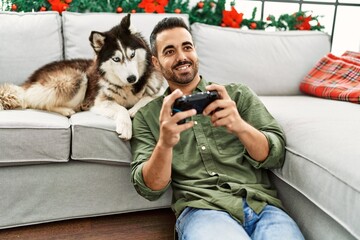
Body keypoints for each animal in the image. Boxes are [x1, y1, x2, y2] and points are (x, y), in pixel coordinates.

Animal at [0, 13, 165, 141]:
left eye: (132, 54)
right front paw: (125, 126)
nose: (132, 78)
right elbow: (121, 109)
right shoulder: (99, 101)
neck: (129, 87)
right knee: (35, 101)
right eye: (116, 59)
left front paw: (134, 109)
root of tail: (31, 78)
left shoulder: (158, 89)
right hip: (77, 78)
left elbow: (150, 98)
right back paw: (66, 110)